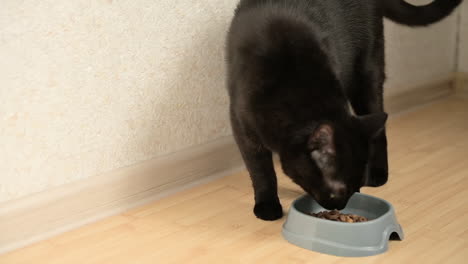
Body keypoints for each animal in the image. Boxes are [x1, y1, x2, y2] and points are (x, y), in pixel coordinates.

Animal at [225, 0, 462, 221]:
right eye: (339, 191)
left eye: (356, 186)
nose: (342, 206)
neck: (292, 84)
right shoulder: (241, 125)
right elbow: (260, 170)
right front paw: (267, 206)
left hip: (368, 73)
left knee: (379, 131)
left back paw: (379, 174)